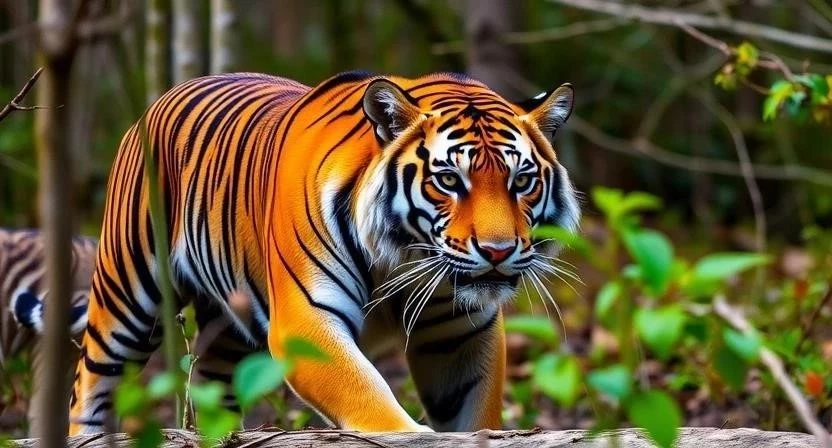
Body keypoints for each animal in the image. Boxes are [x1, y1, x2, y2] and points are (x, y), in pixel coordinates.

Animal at [69, 71, 580, 435]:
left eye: (522, 181)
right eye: (449, 180)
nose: (498, 251)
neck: (403, 256)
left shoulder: (461, 333)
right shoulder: (306, 321)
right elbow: (371, 402)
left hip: (229, 326)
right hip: (126, 294)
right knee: (89, 385)